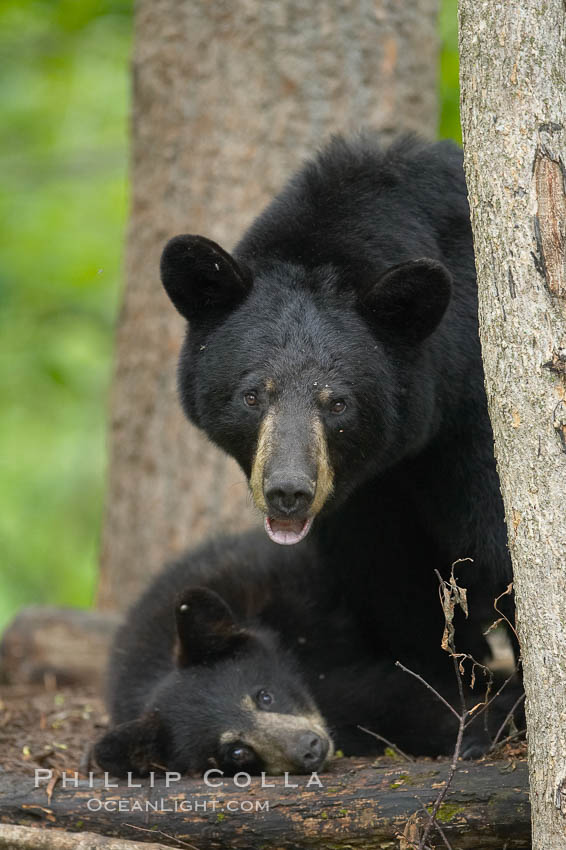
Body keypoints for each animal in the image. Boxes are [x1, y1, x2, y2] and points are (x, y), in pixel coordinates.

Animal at [161, 132, 516, 676]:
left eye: (339, 404)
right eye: (252, 395)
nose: (288, 492)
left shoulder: (476, 420)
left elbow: (500, 548)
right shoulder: (363, 503)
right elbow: (392, 586)